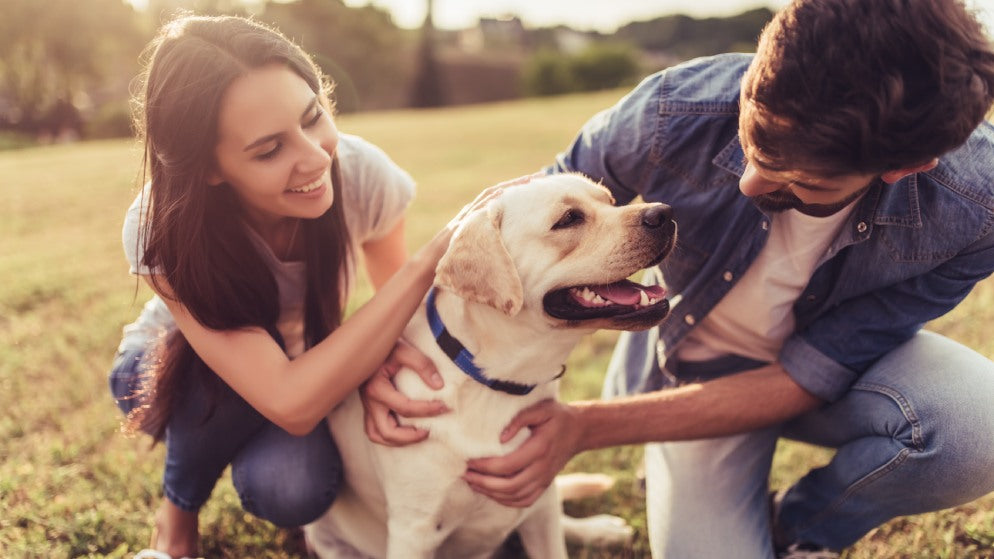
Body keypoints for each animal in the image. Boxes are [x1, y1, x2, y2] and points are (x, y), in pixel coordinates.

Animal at [302, 175, 676, 559]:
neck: (497, 383)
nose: (664, 213)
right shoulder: (413, 528)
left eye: (611, 201)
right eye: (569, 219)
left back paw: (600, 530)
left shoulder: (539, 499)